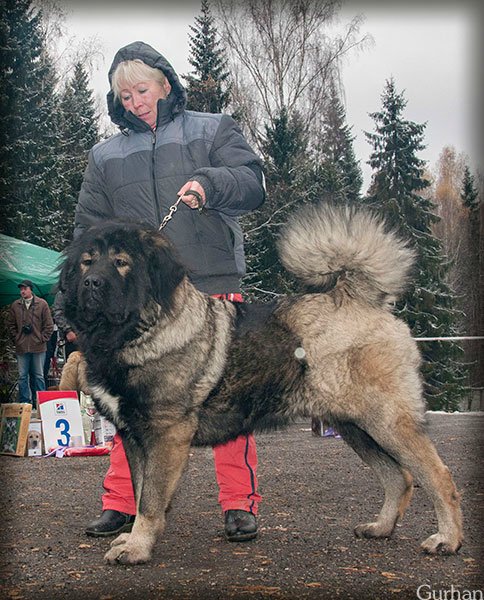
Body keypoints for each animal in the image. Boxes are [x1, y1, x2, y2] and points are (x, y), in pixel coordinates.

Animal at [58, 204, 464, 564]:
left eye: (122, 262)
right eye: (87, 261)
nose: (92, 283)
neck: (140, 332)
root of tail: (357, 298)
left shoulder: (164, 435)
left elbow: (151, 501)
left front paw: (137, 547)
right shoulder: (134, 437)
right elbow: (141, 491)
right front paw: (134, 538)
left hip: (386, 421)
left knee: (437, 476)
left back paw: (447, 539)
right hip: (355, 427)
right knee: (398, 478)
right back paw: (381, 527)